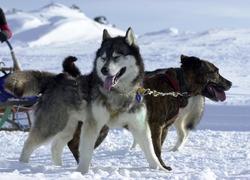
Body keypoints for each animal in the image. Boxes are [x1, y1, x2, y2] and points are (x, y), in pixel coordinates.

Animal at [65, 54, 231, 170]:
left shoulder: (164, 128)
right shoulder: (156, 126)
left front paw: (161, 165)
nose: (230, 83)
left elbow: (157, 149)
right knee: (74, 143)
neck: (176, 86)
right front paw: (162, 167)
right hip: (98, 128)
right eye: (215, 71)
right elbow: (157, 150)